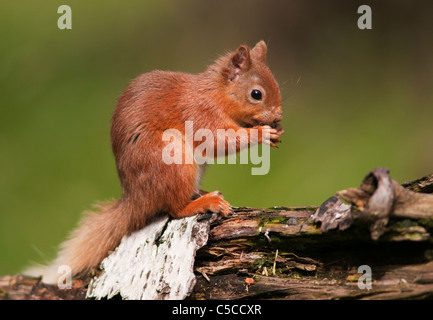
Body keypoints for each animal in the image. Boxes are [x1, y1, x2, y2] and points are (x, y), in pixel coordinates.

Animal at [27, 40, 284, 284]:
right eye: (256, 94)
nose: (279, 115)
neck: (217, 93)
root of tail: (136, 198)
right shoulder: (201, 114)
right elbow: (219, 140)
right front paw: (261, 133)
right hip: (172, 159)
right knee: (175, 208)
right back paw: (205, 202)